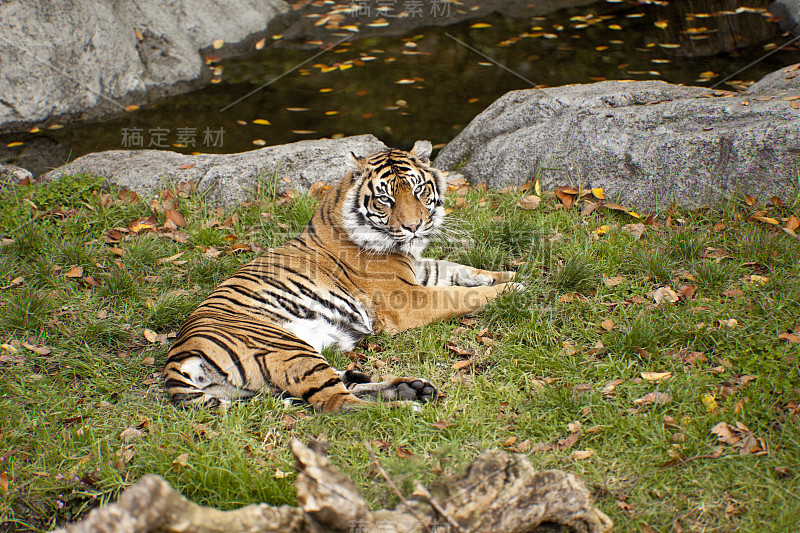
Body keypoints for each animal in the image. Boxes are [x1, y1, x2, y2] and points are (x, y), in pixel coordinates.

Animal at [166, 139, 520, 410]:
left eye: (419, 190)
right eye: (385, 199)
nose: (414, 226)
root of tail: (179, 355)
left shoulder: (419, 270)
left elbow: (461, 271)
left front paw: (509, 274)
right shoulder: (407, 299)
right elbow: (459, 295)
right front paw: (514, 290)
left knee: (342, 386)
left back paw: (409, 388)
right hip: (287, 348)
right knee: (336, 403)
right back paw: (405, 407)